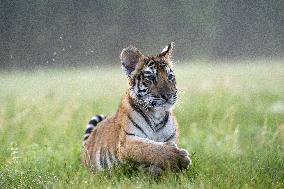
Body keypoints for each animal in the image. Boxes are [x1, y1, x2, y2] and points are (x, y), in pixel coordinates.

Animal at [83, 42, 192, 173]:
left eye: (170, 76)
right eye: (151, 78)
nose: (169, 95)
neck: (157, 116)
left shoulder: (170, 138)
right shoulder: (127, 141)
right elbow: (149, 148)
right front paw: (179, 158)